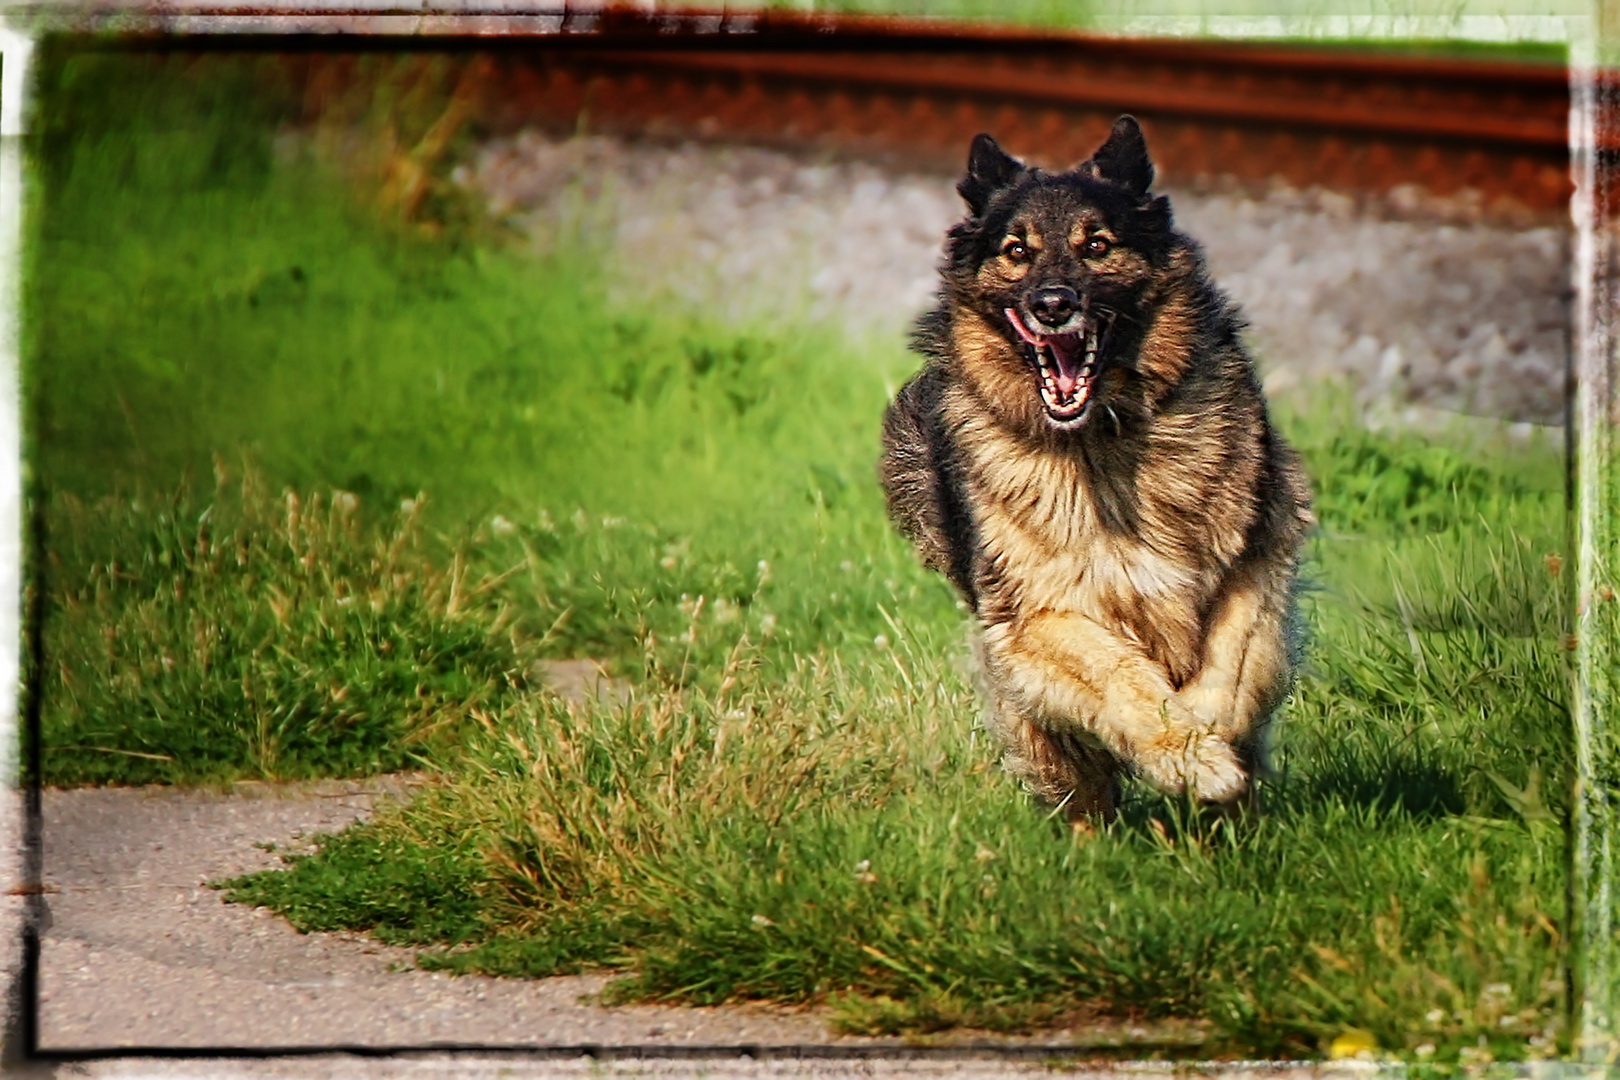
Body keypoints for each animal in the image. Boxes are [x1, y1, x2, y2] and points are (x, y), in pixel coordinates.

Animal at [881, 118, 1308, 822]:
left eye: (1097, 245)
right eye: (1017, 250)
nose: (1053, 304)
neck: (1100, 441)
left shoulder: (1257, 559)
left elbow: (1233, 666)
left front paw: (1212, 743)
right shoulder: (1036, 614)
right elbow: (1118, 674)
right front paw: (1188, 756)